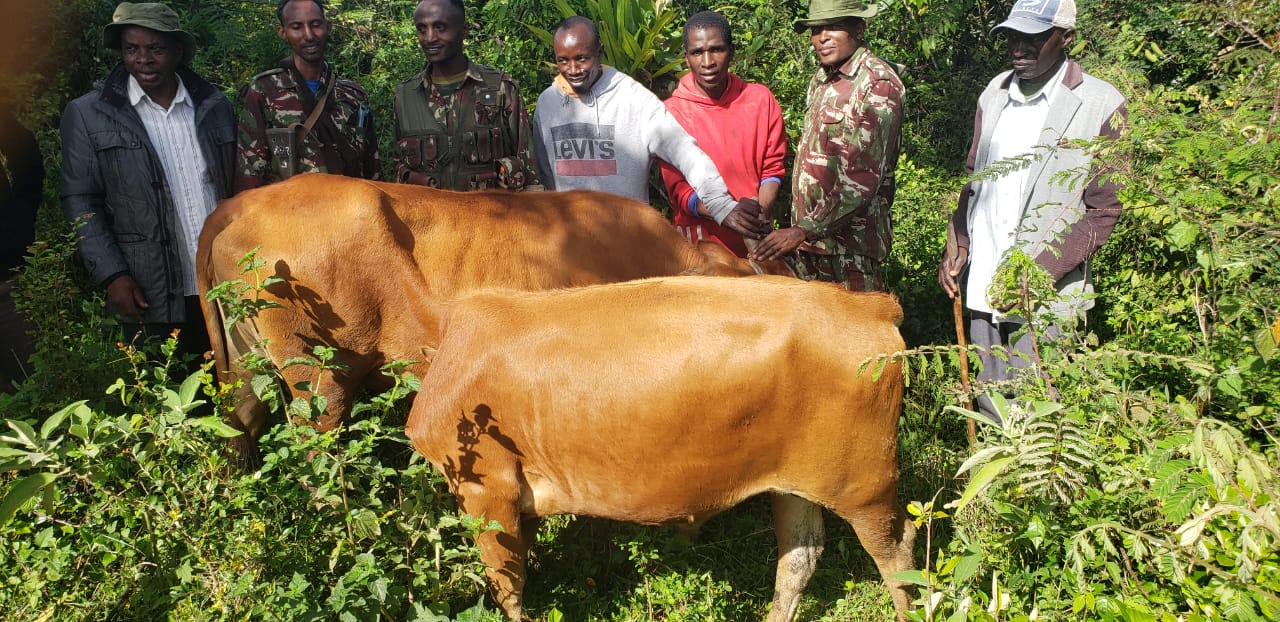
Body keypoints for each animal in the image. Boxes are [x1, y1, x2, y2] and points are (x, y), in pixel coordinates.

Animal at [405, 275, 917, 622]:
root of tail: (868, 304)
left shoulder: (486, 489)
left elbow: (506, 583)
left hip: (864, 485)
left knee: (898, 550)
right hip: (795, 483)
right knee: (799, 557)